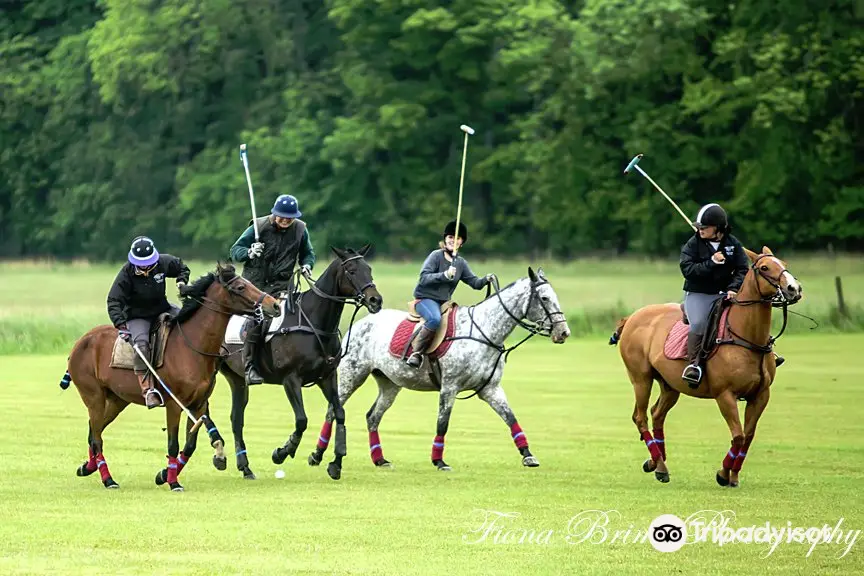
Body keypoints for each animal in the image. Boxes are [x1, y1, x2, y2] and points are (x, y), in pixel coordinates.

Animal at [62, 262, 278, 490]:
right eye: (240, 287)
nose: (274, 305)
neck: (193, 345)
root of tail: (80, 342)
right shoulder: (175, 404)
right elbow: (173, 444)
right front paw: (173, 482)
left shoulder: (198, 404)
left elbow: (190, 445)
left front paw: (163, 475)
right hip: (93, 397)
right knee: (97, 438)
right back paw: (108, 479)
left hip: (117, 400)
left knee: (94, 432)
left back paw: (87, 467)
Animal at [215, 244, 382, 482]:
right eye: (351, 270)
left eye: (368, 268)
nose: (376, 300)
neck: (316, 323)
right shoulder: (291, 379)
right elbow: (302, 420)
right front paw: (282, 452)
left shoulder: (327, 377)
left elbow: (339, 413)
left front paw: (336, 463)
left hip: (237, 379)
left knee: (236, 419)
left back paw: (245, 467)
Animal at [308, 266, 572, 472]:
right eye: (545, 298)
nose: (563, 333)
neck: (484, 332)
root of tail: (361, 322)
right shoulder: (450, 386)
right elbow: (442, 423)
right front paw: (439, 461)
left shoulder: (491, 389)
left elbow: (511, 418)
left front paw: (528, 455)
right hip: (351, 375)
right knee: (332, 411)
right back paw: (317, 454)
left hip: (390, 383)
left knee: (373, 416)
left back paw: (380, 459)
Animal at [608, 245, 804, 488]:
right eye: (764, 268)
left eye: (784, 263)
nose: (794, 288)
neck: (747, 336)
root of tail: (631, 318)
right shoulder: (725, 394)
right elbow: (738, 435)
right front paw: (723, 474)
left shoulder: (761, 395)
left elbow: (747, 437)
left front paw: (733, 476)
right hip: (640, 378)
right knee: (640, 417)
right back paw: (659, 464)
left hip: (670, 385)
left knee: (657, 414)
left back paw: (657, 463)